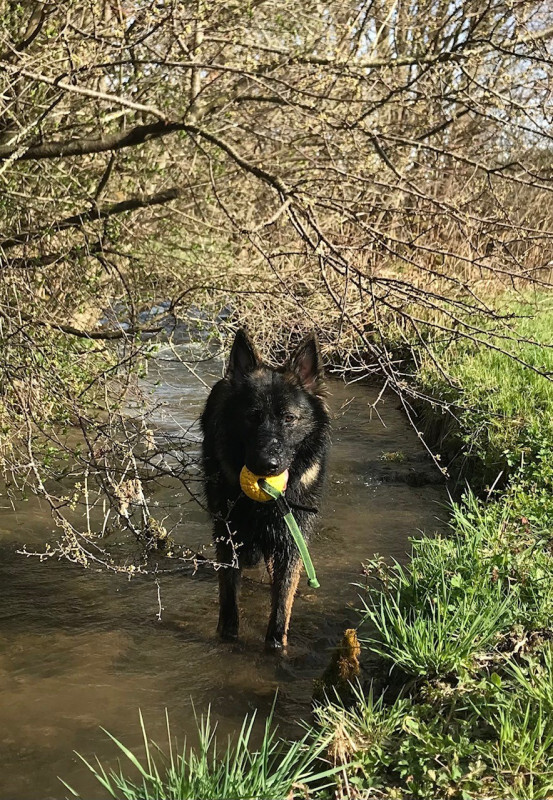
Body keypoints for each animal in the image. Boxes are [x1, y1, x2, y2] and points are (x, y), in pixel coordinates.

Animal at [203, 330, 332, 648]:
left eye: (289, 418)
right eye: (252, 417)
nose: (267, 465)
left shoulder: (290, 538)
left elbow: (283, 598)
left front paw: (275, 645)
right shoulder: (228, 534)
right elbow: (229, 597)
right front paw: (228, 637)